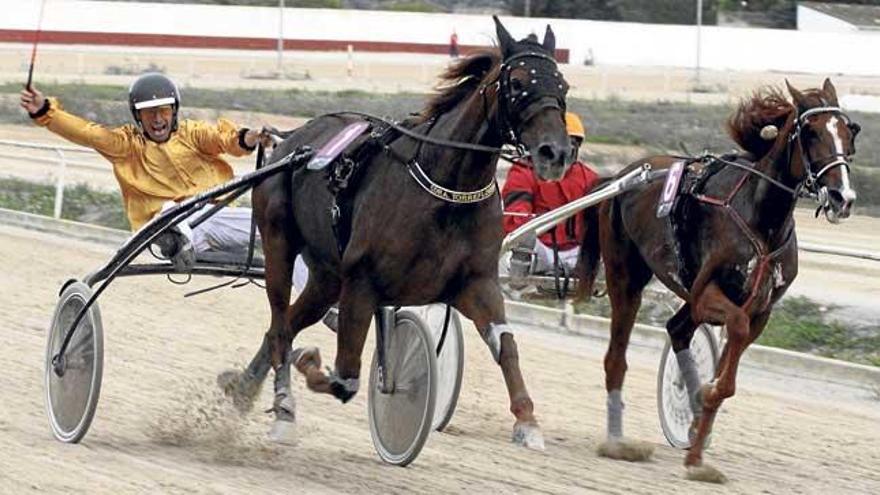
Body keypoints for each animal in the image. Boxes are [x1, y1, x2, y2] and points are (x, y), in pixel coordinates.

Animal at [223, 16, 576, 450]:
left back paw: (244, 388)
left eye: (563, 85)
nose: (555, 153)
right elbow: (345, 378)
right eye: (517, 81)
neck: (448, 189)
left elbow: (505, 345)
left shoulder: (477, 283)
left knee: (285, 323)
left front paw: (527, 422)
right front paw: (310, 362)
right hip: (279, 245)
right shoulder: (362, 282)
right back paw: (284, 407)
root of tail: (292, 139)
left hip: (327, 275)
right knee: (280, 327)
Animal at [576, 79, 860, 482]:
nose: (842, 197)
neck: (761, 217)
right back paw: (617, 442)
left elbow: (731, 357)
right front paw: (703, 408)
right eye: (811, 132)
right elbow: (734, 329)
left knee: (677, 329)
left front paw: (697, 445)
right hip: (624, 276)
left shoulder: (760, 309)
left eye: (849, 132)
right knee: (616, 357)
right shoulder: (708, 294)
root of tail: (620, 177)